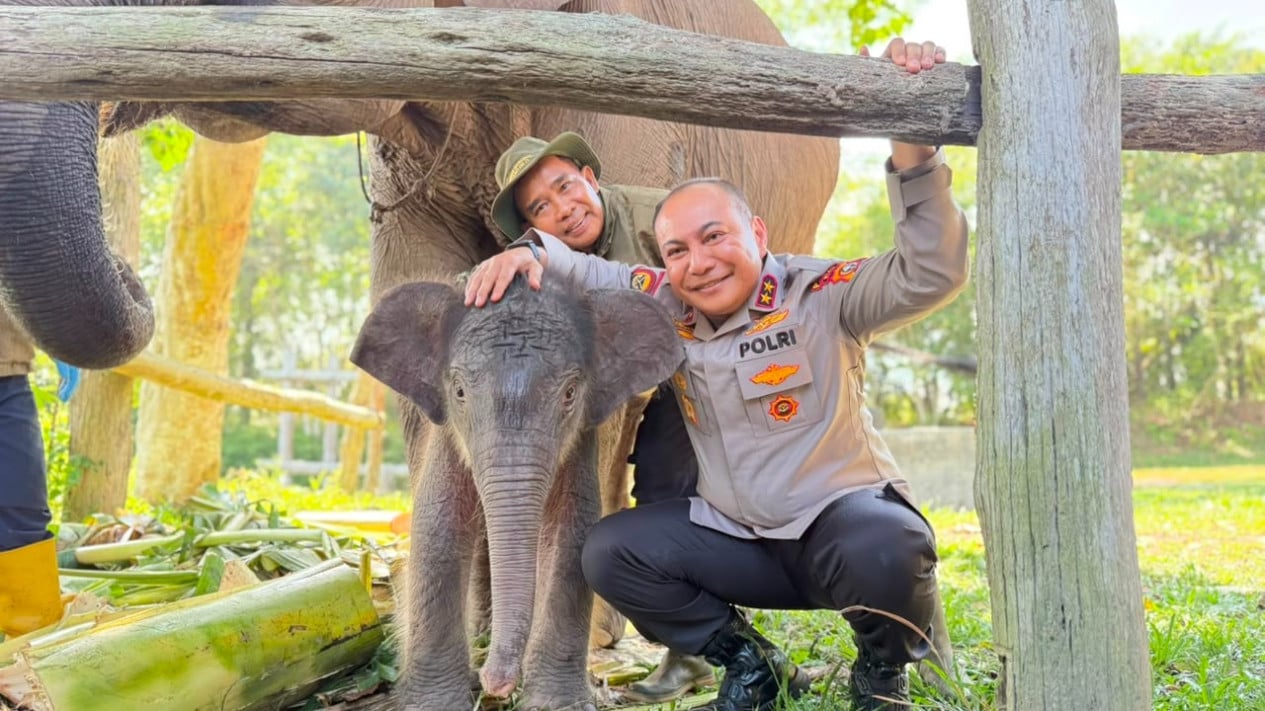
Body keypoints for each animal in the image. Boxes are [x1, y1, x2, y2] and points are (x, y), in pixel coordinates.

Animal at [349, 276, 683, 710]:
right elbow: (438, 527)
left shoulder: (580, 440)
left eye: (570, 393)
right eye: (459, 392)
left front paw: (556, 704)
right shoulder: (446, 436)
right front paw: (437, 703)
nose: (494, 685)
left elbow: (572, 534)